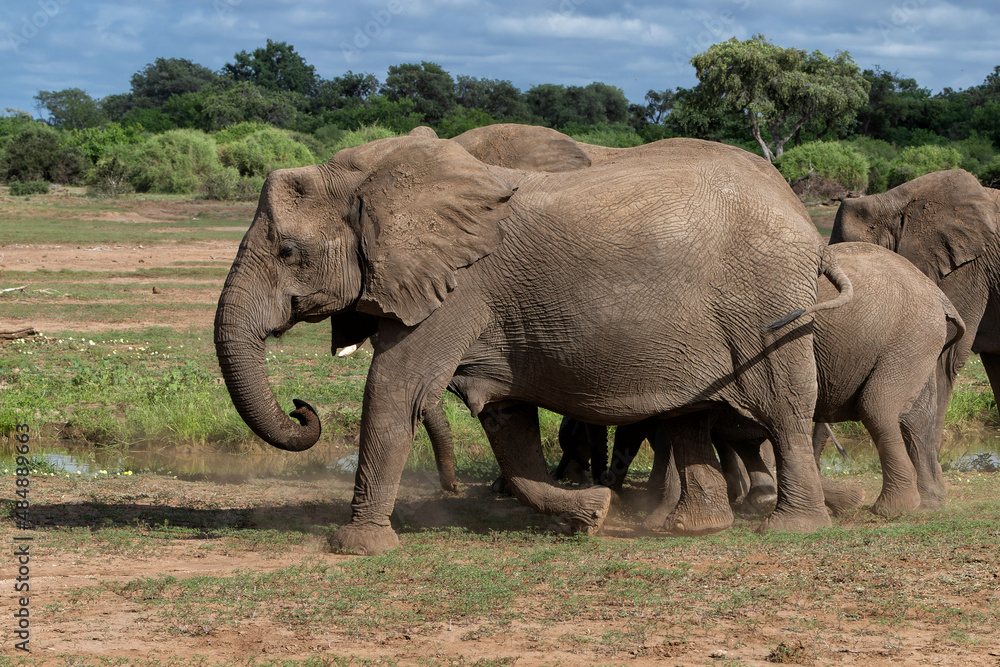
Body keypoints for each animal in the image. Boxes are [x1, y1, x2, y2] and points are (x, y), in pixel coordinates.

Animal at [214, 131, 853, 555]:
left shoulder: (462, 288)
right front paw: (593, 515)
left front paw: (358, 547)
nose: (303, 407)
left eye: (288, 252)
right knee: (688, 418)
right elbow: (506, 421)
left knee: (783, 410)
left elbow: (398, 391)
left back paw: (791, 528)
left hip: (765, 305)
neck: (376, 175)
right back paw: (691, 528)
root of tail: (800, 211)